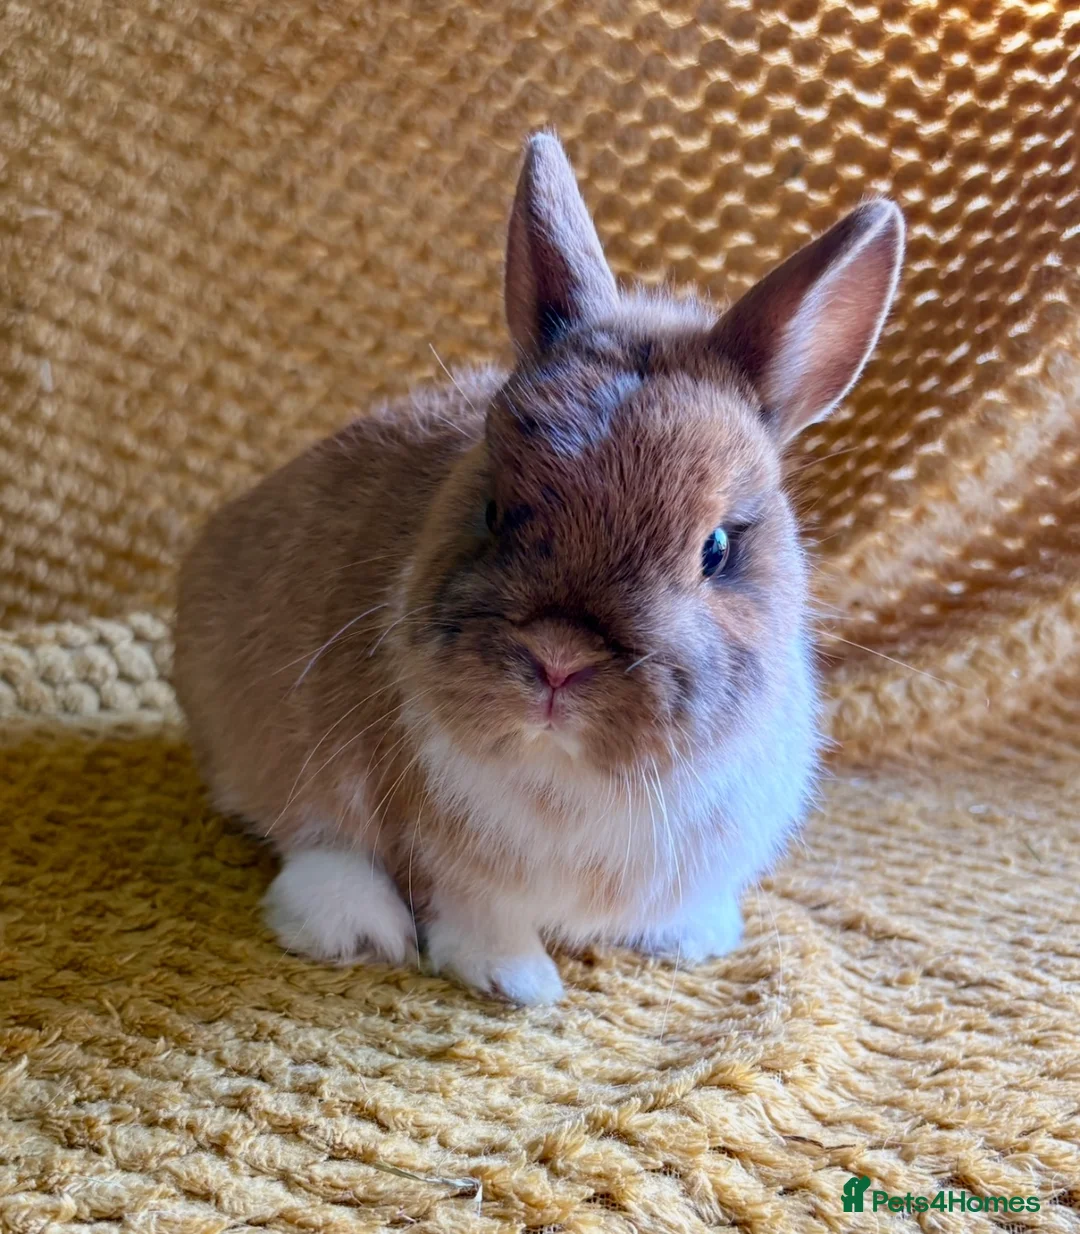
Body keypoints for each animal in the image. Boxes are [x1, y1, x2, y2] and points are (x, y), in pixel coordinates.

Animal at [174, 132, 903, 1004]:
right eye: (492, 508)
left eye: (718, 550)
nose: (558, 661)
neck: (573, 772)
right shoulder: (448, 858)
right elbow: (474, 915)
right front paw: (518, 982)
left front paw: (694, 940)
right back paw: (354, 926)